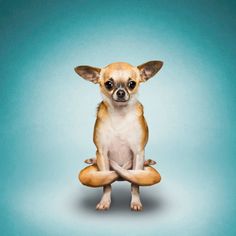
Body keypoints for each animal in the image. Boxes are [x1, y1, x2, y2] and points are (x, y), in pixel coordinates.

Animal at [74, 60, 163, 210]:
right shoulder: (102, 152)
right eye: (109, 84)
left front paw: (136, 202)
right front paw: (105, 201)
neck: (119, 115)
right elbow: (106, 183)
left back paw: (147, 161)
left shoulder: (138, 152)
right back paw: (92, 160)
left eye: (132, 84)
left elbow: (135, 184)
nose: (121, 92)